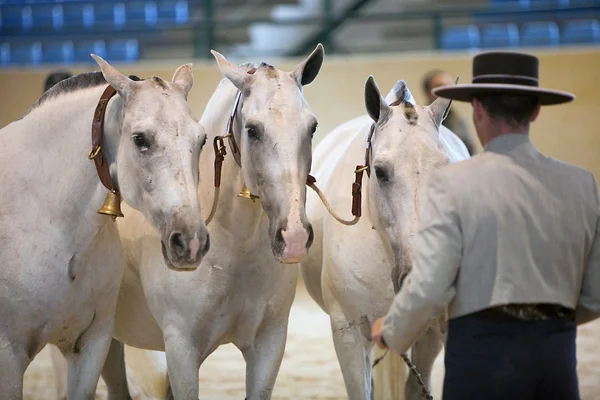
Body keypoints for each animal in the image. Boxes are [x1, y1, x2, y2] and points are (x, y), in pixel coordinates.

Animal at [63, 44, 326, 400]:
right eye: (252, 130)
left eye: (311, 128)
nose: (295, 236)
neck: (233, 249)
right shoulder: (181, 350)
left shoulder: (268, 345)